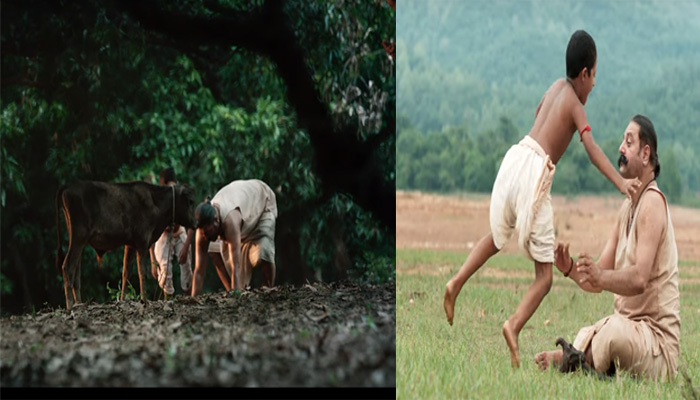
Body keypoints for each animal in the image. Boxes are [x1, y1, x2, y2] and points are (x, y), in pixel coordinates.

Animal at [55, 181, 196, 310]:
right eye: (190, 201)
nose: (195, 222)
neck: (156, 203)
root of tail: (69, 185)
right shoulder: (142, 241)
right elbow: (142, 272)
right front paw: (144, 300)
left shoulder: (130, 245)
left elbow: (126, 273)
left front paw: (123, 300)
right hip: (79, 237)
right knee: (68, 267)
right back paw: (70, 306)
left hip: (78, 240)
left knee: (76, 271)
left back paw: (79, 303)